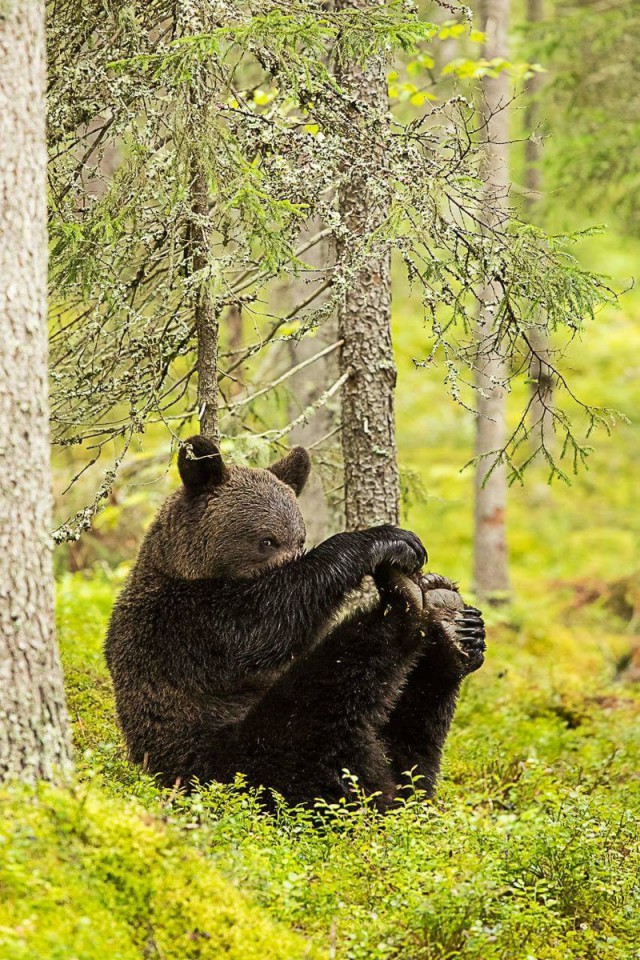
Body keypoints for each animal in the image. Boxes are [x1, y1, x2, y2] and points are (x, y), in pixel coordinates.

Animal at [105, 436, 484, 808]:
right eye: (267, 539)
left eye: (299, 537)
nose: (292, 553)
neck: (197, 572)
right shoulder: (188, 625)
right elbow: (264, 621)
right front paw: (386, 539)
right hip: (231, 760)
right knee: (327, 701)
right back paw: (407, 602)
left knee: (414, 733)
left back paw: (453, 628)